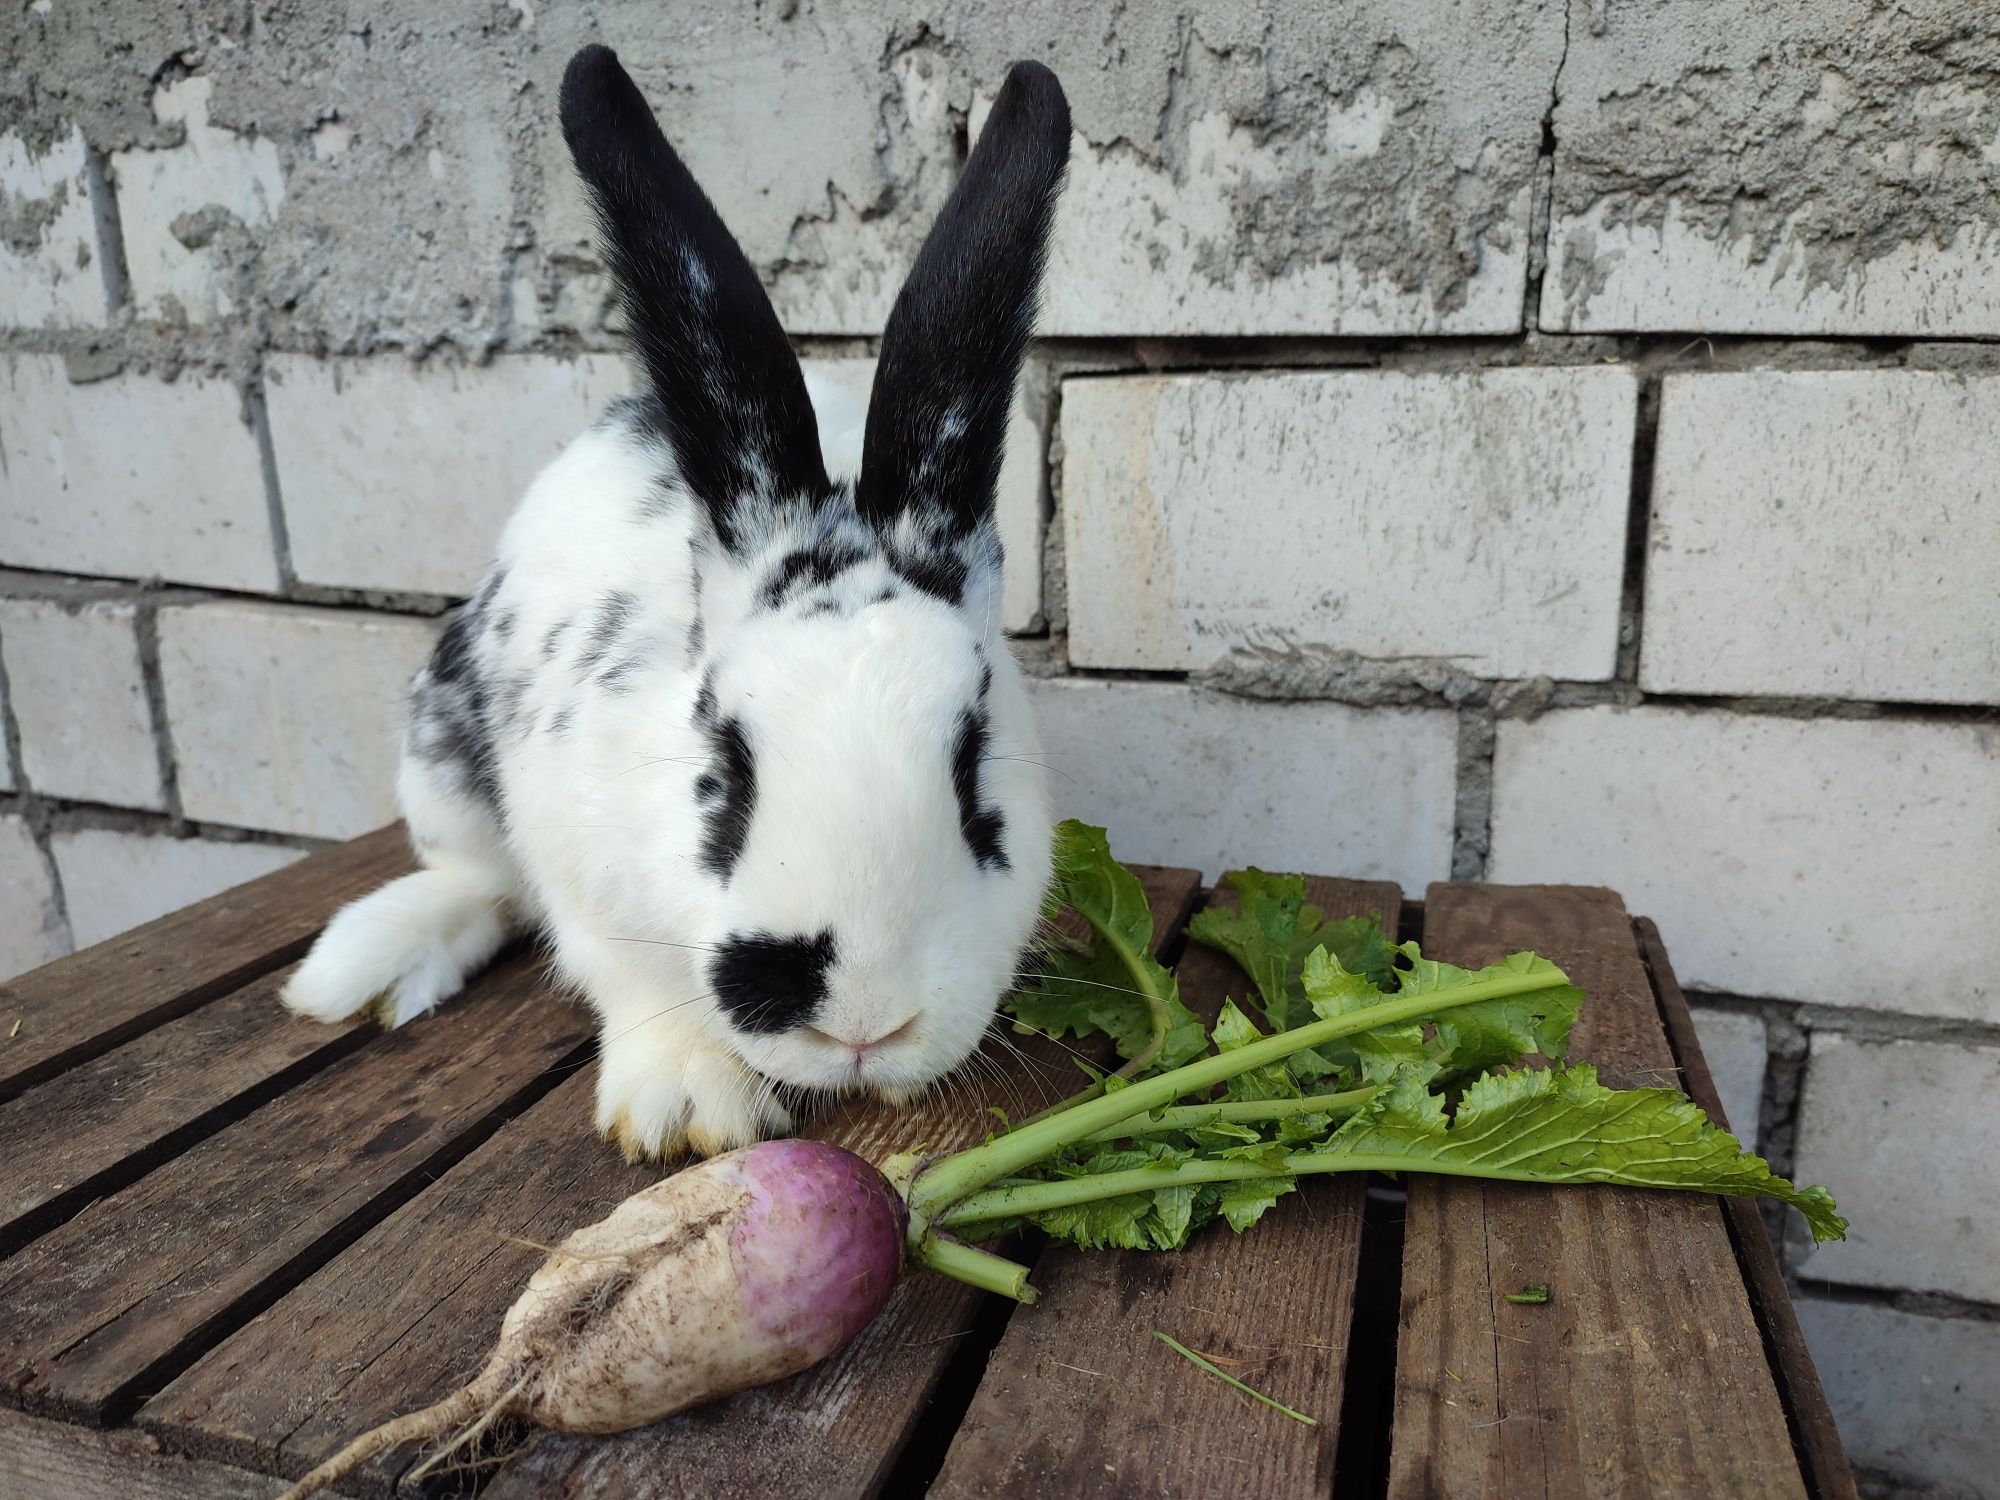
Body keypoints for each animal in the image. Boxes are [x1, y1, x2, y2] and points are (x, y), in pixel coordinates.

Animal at [278, 44, 1080, 1160]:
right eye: (723, 772)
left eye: (975, 778)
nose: (862, 1022)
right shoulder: (585, 876)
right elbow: (628, 976)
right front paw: (689, 1109)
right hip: (440, 759)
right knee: (478, 882)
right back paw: (361, 965)